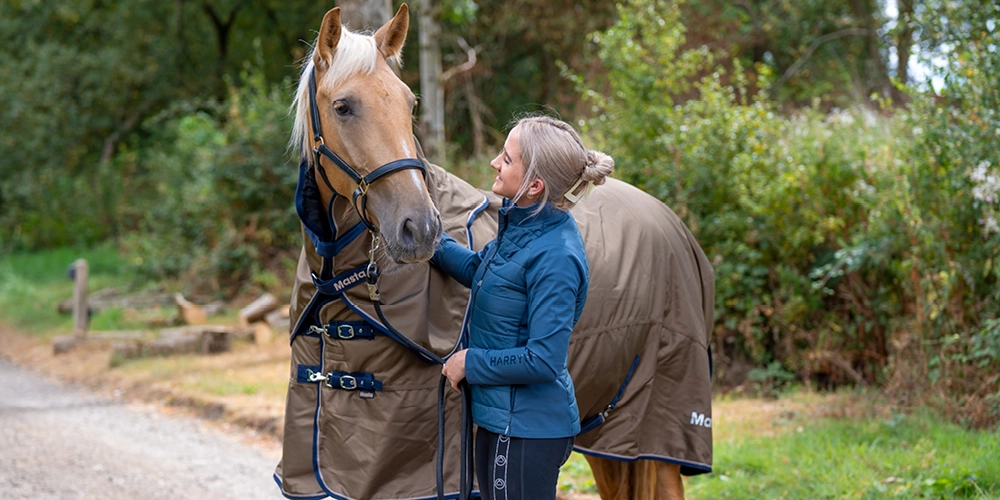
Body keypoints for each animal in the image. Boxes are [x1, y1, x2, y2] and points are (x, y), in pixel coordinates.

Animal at [273, 5, 714, 500]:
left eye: (410, 104)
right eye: (343, 106)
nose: (421, 228)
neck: (338, 279)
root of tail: (674, 224)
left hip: (658, 433)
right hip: (608, 433)